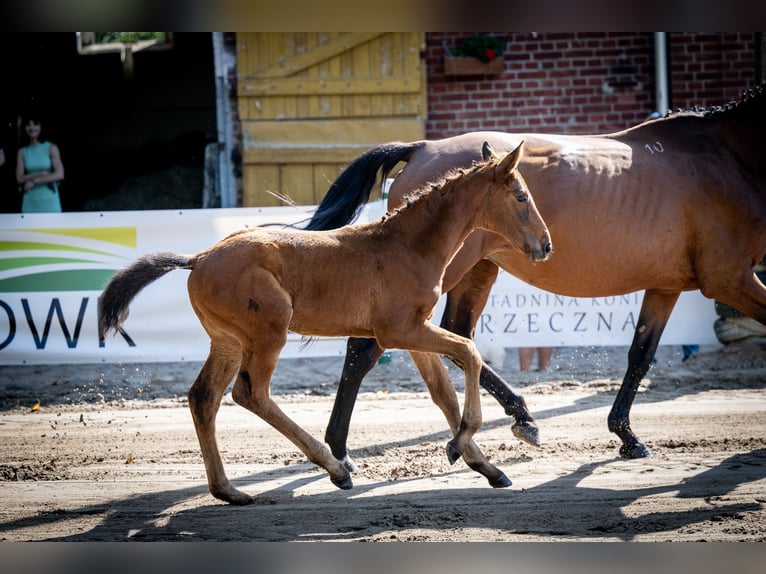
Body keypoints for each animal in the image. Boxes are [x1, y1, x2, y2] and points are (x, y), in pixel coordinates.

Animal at [99, 145, 552, 508]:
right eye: (521, 196)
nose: (546, 245)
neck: (406, 245)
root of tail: (198, 259)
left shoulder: (413, 332)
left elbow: (443, 393)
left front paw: (482, 464)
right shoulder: (399, 330)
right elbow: (469, 354)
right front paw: (467, 442)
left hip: (227, 341)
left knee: (203, 397)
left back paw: (229, 491)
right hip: (268, 332)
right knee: (250, 393)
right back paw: (335, 468)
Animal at [308, 85, 766, 472]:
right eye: (521, 196)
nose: (546, 244)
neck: (726, 155)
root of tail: (421, 147)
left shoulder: (666, 285)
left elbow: (640, 355)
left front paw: (626, 435)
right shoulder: (729, 278)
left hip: (477, 270)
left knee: (458, 335)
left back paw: (523, 417)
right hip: (444, 273)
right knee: (369, 347)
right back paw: (340, 450)